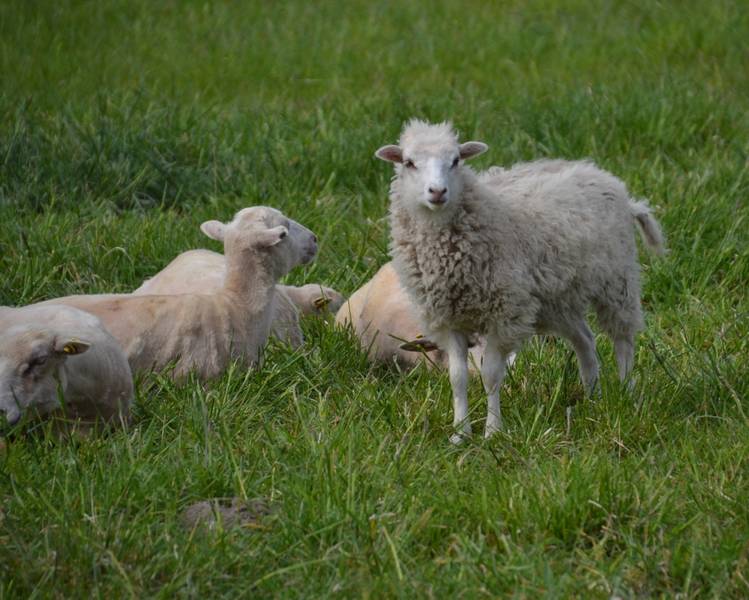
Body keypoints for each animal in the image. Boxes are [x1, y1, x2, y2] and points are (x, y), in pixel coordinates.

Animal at [376, 119, 665, 442]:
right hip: (557, 301)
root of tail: (607, 179)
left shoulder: (504, 312)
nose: (437, 192)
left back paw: (627, 395)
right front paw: (460, 433)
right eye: (409, 163)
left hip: (617, 280)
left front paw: (492, 431)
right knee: (585, 340)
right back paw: (593, 396)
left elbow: (490, 375)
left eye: (456, 161)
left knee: (622, 340)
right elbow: (457, 378)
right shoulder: (448, 319)